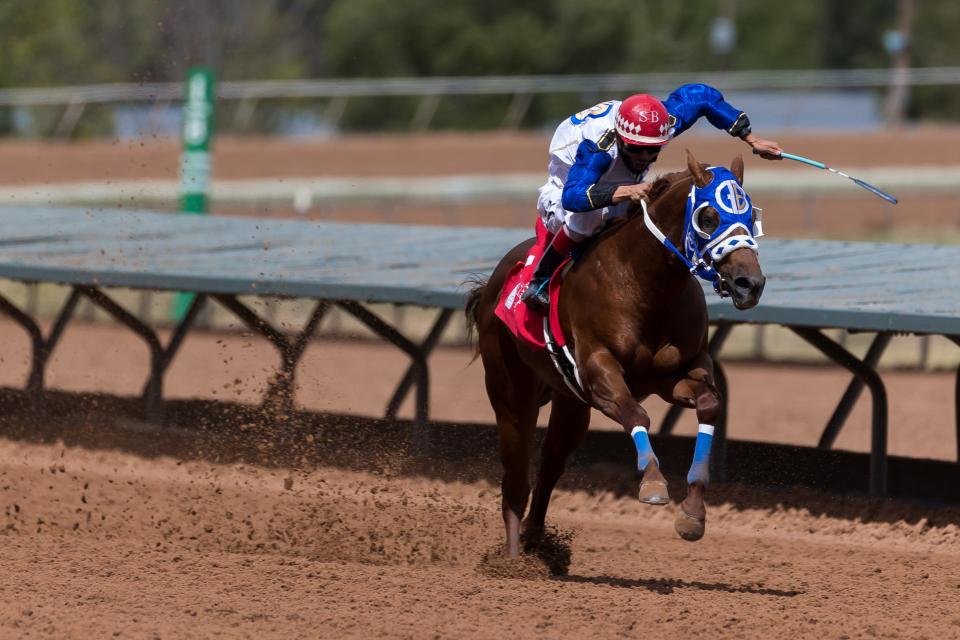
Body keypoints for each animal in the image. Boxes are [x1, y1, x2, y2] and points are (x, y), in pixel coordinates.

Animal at [464, 150, 764, 556]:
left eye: (750, 217)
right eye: (708, 217)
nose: (751, 284)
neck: (645, 284)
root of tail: (490, 287)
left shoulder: (675, 373)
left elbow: (710, 404)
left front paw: (692, 512)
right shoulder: (597, 370)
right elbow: (636, 413)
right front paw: (652, 483)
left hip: (570, 404)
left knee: (549, 467)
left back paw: (534, 538)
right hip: (510, 395)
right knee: (516, 480)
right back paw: (512, 559)